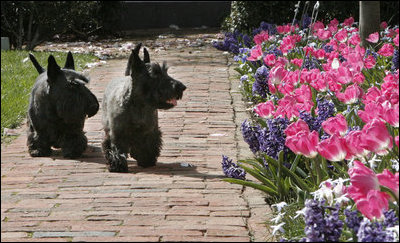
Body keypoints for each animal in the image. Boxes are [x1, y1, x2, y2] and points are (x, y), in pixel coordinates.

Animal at [101, 44, 186, 173]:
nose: (182, 87)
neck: (139, 105)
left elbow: (147, 146)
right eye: (155, 73)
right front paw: (118, 165)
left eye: (165, 72)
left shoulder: (149, 132)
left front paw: (147, 160)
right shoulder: (117, 134)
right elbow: (116, 149)